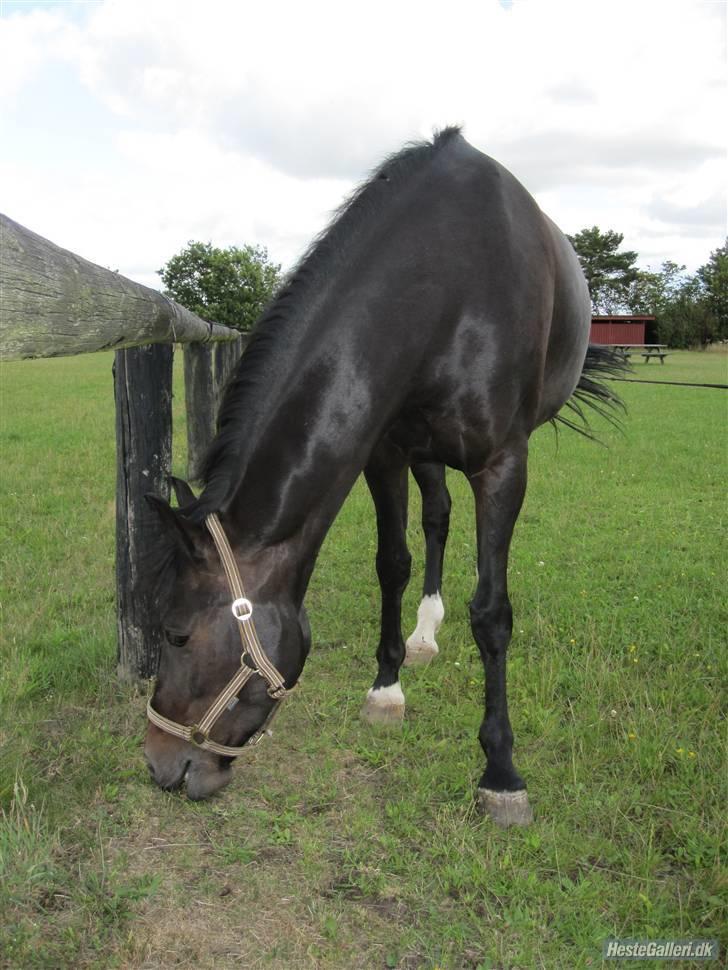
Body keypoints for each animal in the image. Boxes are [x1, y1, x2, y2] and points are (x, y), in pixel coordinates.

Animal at [144, 126, 624, 824]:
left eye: (177, 635)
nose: (160, 765)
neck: (447, 284)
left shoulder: (502, 465)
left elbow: (492, 613)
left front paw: (502, 773)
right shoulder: (385, 453)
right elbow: (392, 563)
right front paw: (386, 690)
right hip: (424, 454)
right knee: (437, 518)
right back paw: (423, 635)